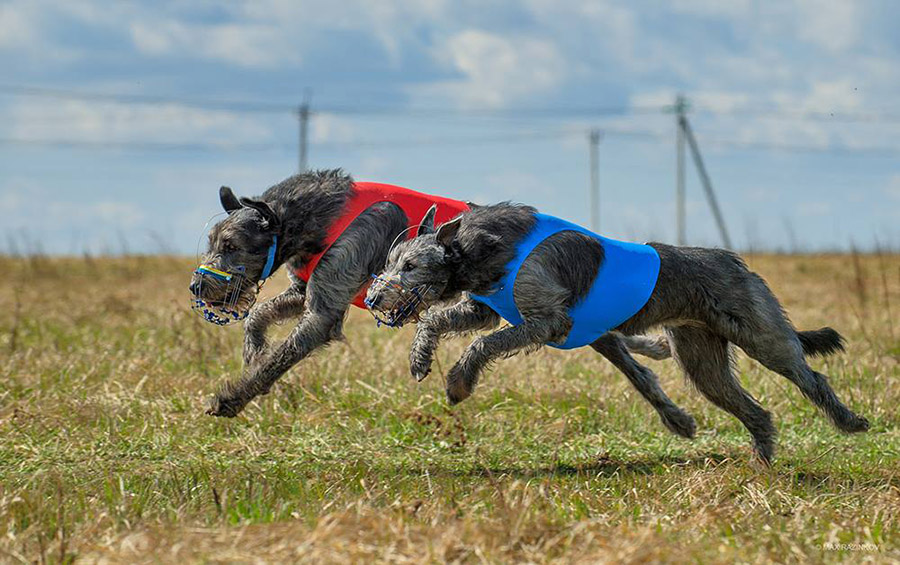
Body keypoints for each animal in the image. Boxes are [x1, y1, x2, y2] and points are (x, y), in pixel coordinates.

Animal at [368, 200, 872, 460]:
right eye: (390, 260)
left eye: (410, 266)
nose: (373, 299)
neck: (482, 248)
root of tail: (738, 262)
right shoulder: (485, 307)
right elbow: (442, 319)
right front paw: (420, 359)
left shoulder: (549, 319)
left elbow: (484, 342)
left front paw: (459, 381)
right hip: (701, 360)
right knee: (753, 408)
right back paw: (762, 462)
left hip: (761, 334)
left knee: (810, 377)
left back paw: (849, 421)